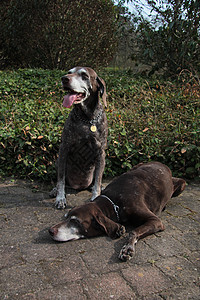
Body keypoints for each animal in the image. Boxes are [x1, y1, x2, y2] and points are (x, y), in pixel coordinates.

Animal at [48, 162, 186, 260]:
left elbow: (133, 232)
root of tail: (163, 164)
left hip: (182, 184)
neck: (114, 203)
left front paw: (128, 248)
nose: (50, 231)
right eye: (66, 217)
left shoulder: (155, 220)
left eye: (75, 221)